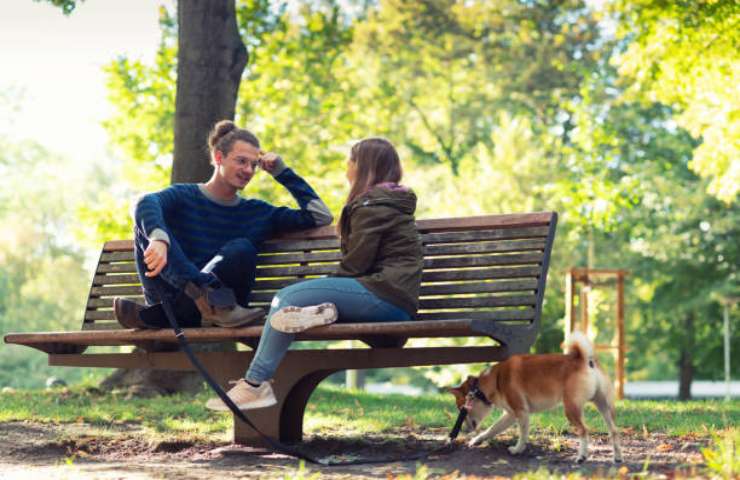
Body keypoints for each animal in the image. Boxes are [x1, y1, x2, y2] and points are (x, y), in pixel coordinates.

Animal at [448, 332, 620, 464]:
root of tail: (584, 360)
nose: (463, 430)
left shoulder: (521, 412)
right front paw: (477, 440)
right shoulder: (510, 415)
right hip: (603, 405)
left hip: (571, 408)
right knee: (613, 431)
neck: (495, 380)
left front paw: (518, 449)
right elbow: (492, 429)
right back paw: (617, 458)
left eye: (462, 409)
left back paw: (581, 457)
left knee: (584, 431)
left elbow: (523, 434)